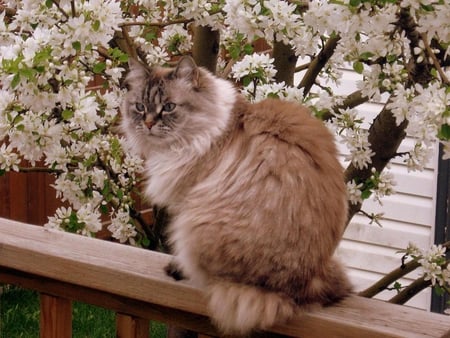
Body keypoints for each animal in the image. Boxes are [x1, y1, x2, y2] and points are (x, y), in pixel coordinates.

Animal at [121, 56, 354, 334]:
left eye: (168, 107)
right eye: (139, 107)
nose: (148, 123)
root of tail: (305, 283)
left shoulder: (185, 198)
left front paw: (177, 268)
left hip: (194, 224)